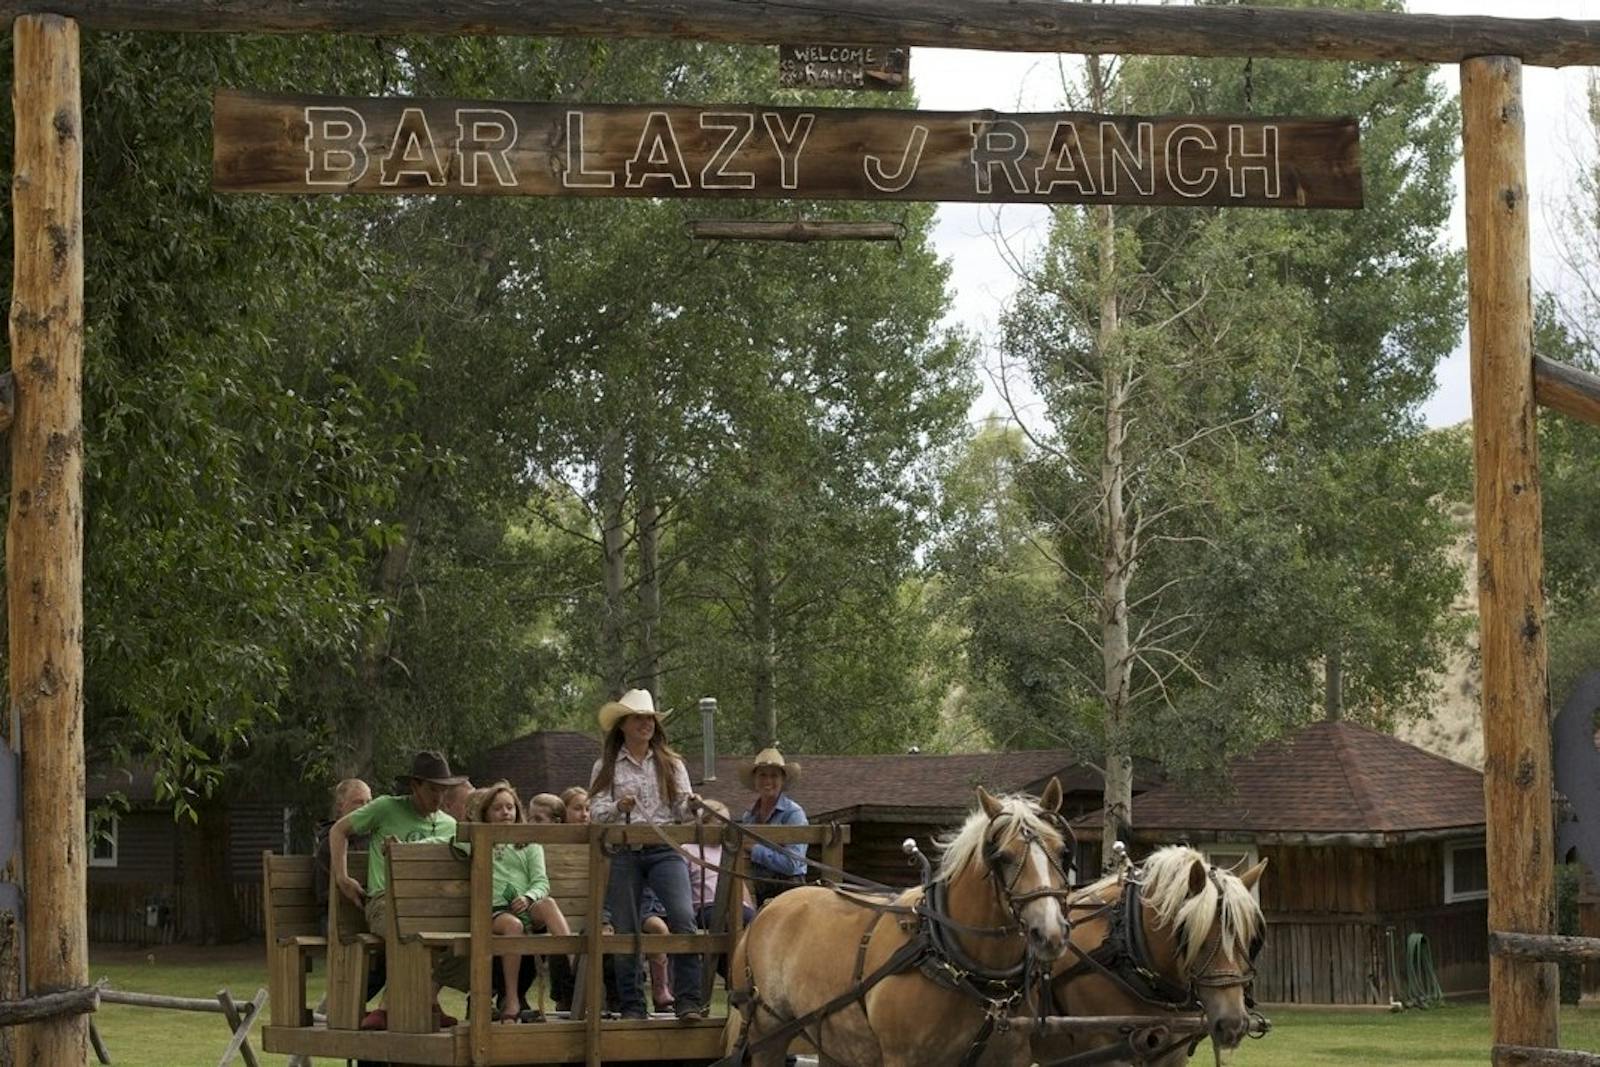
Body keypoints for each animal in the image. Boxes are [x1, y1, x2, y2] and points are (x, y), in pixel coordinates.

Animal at [726, 780, 1075, 1062]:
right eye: (1002, 857)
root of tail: (769, 908)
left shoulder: (1013, 1056)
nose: (1050, 933)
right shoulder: (902, 1056)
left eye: (1062, 852)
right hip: (767, 1034)